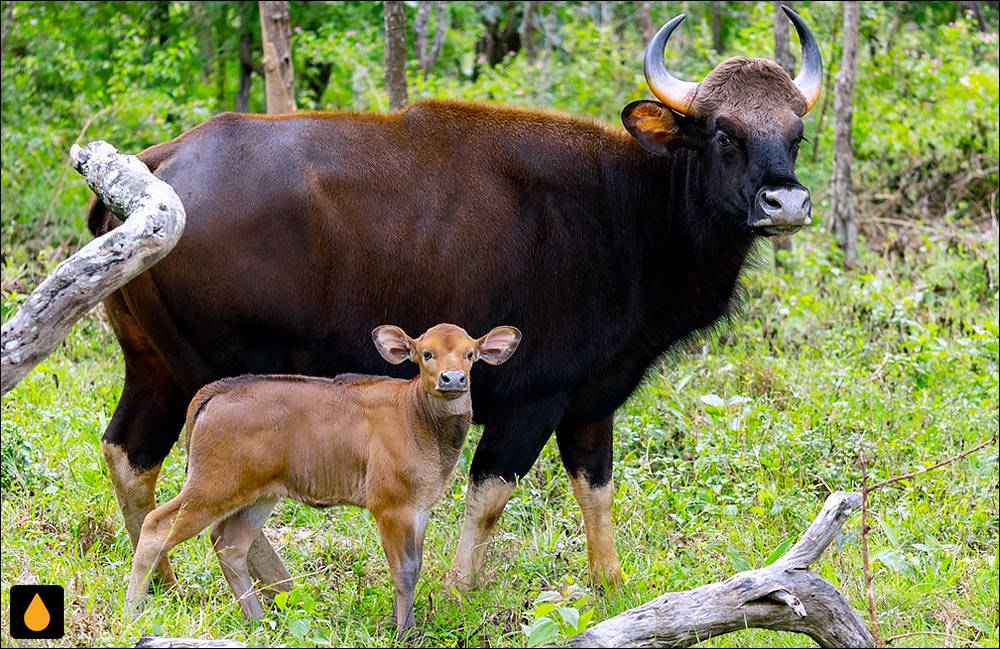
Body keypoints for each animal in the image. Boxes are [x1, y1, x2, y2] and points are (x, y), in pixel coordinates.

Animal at [125, 322, 524, 636]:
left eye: (470, 354)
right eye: (426, 353)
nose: (452, 379)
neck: (417, 418)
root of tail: (214, 392)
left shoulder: (420, 508)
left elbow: (416, 565)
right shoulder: (389, 505)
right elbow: (404, 570)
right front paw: (404, 632)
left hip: (258, 495)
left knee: (230, 544)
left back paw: (257, 622)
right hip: (211, 485)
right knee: (157, 526)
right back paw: (132, 613)